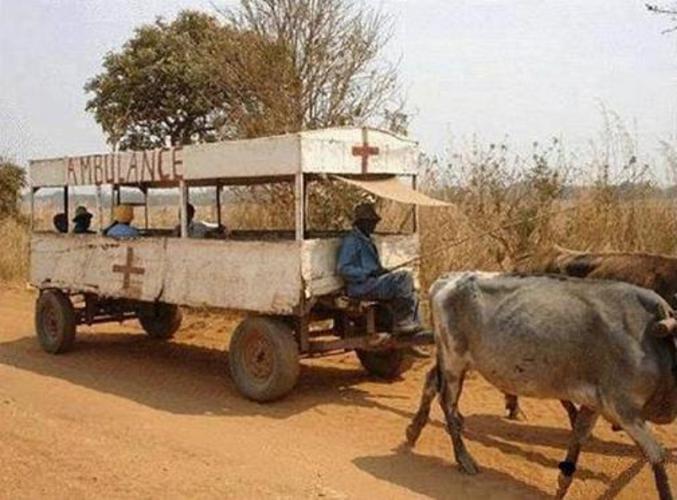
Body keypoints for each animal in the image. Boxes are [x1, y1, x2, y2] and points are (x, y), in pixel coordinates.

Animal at [406, 274, 676, 500]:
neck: (652, 339)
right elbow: (657, 456)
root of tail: (447, 280)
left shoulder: (595, 403)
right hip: (453, 360)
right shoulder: (623, 409)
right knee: (448, 404)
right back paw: (464, 459)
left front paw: (562, 487)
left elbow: (577, 439)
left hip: (452, 360)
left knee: (431, 383)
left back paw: (413, 431)